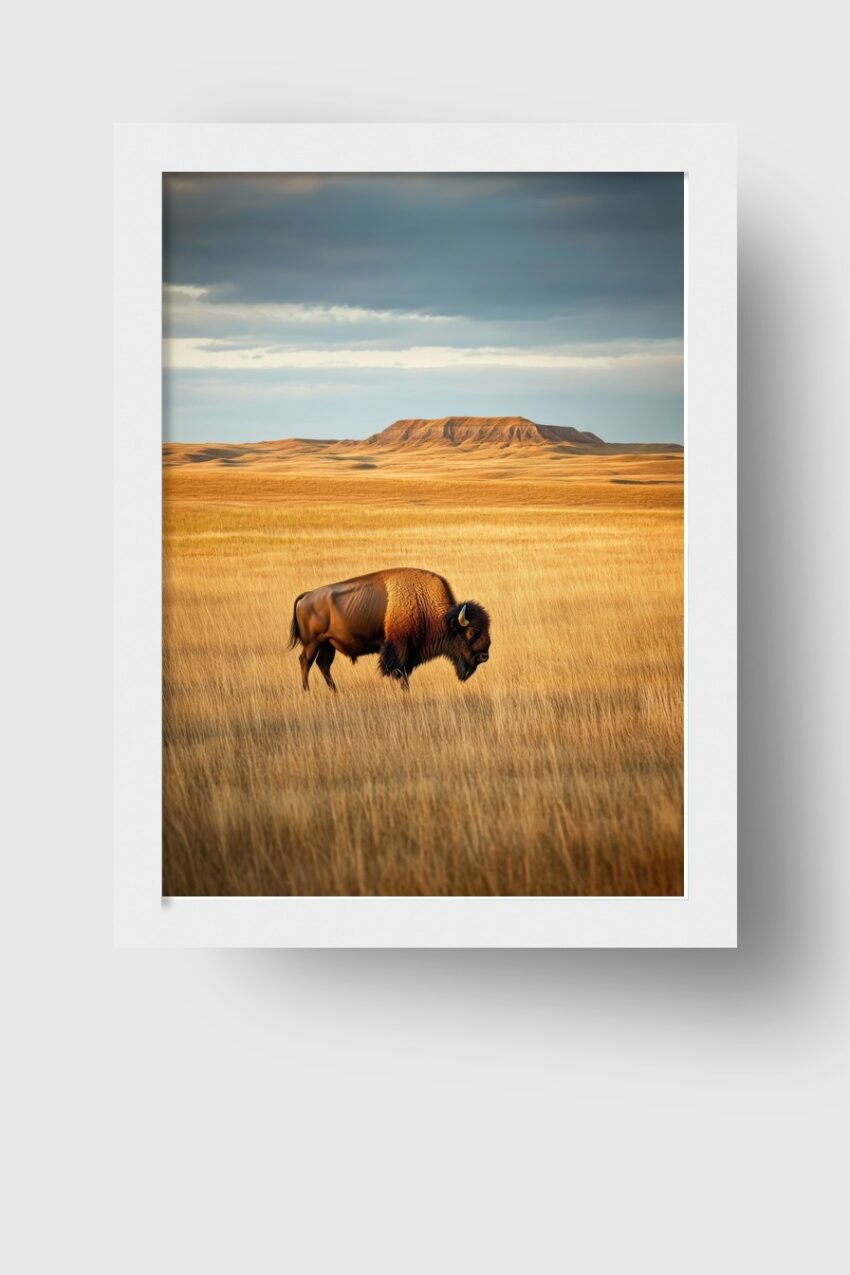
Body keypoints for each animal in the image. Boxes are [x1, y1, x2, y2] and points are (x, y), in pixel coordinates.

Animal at [287, 567, 491, 692]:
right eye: (471, 632)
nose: (484, 656)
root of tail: (307, 596)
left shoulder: (410, 654)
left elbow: (405, 672)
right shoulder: (399, 649)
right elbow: (399, 671)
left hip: (327, 644)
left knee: (323, 665)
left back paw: (334, 691)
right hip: (312, 643)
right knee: (305, 661)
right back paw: (306, 690)